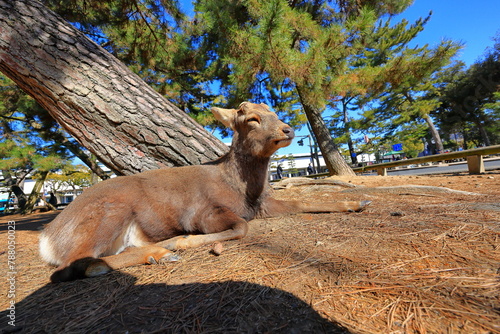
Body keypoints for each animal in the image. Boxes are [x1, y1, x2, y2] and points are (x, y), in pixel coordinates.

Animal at [40, 102, 372, 282]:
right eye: (251, 119)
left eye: (274, 113)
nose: (288, 130)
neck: (242, 190)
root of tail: (47, 239)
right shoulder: (202, 212)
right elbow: (241, 227)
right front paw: (184, 241)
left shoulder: (263, 205)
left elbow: (303, 202)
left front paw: (358, 201)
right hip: (108, 212)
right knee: (69, 267)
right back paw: (162, 253)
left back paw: (158, 253)